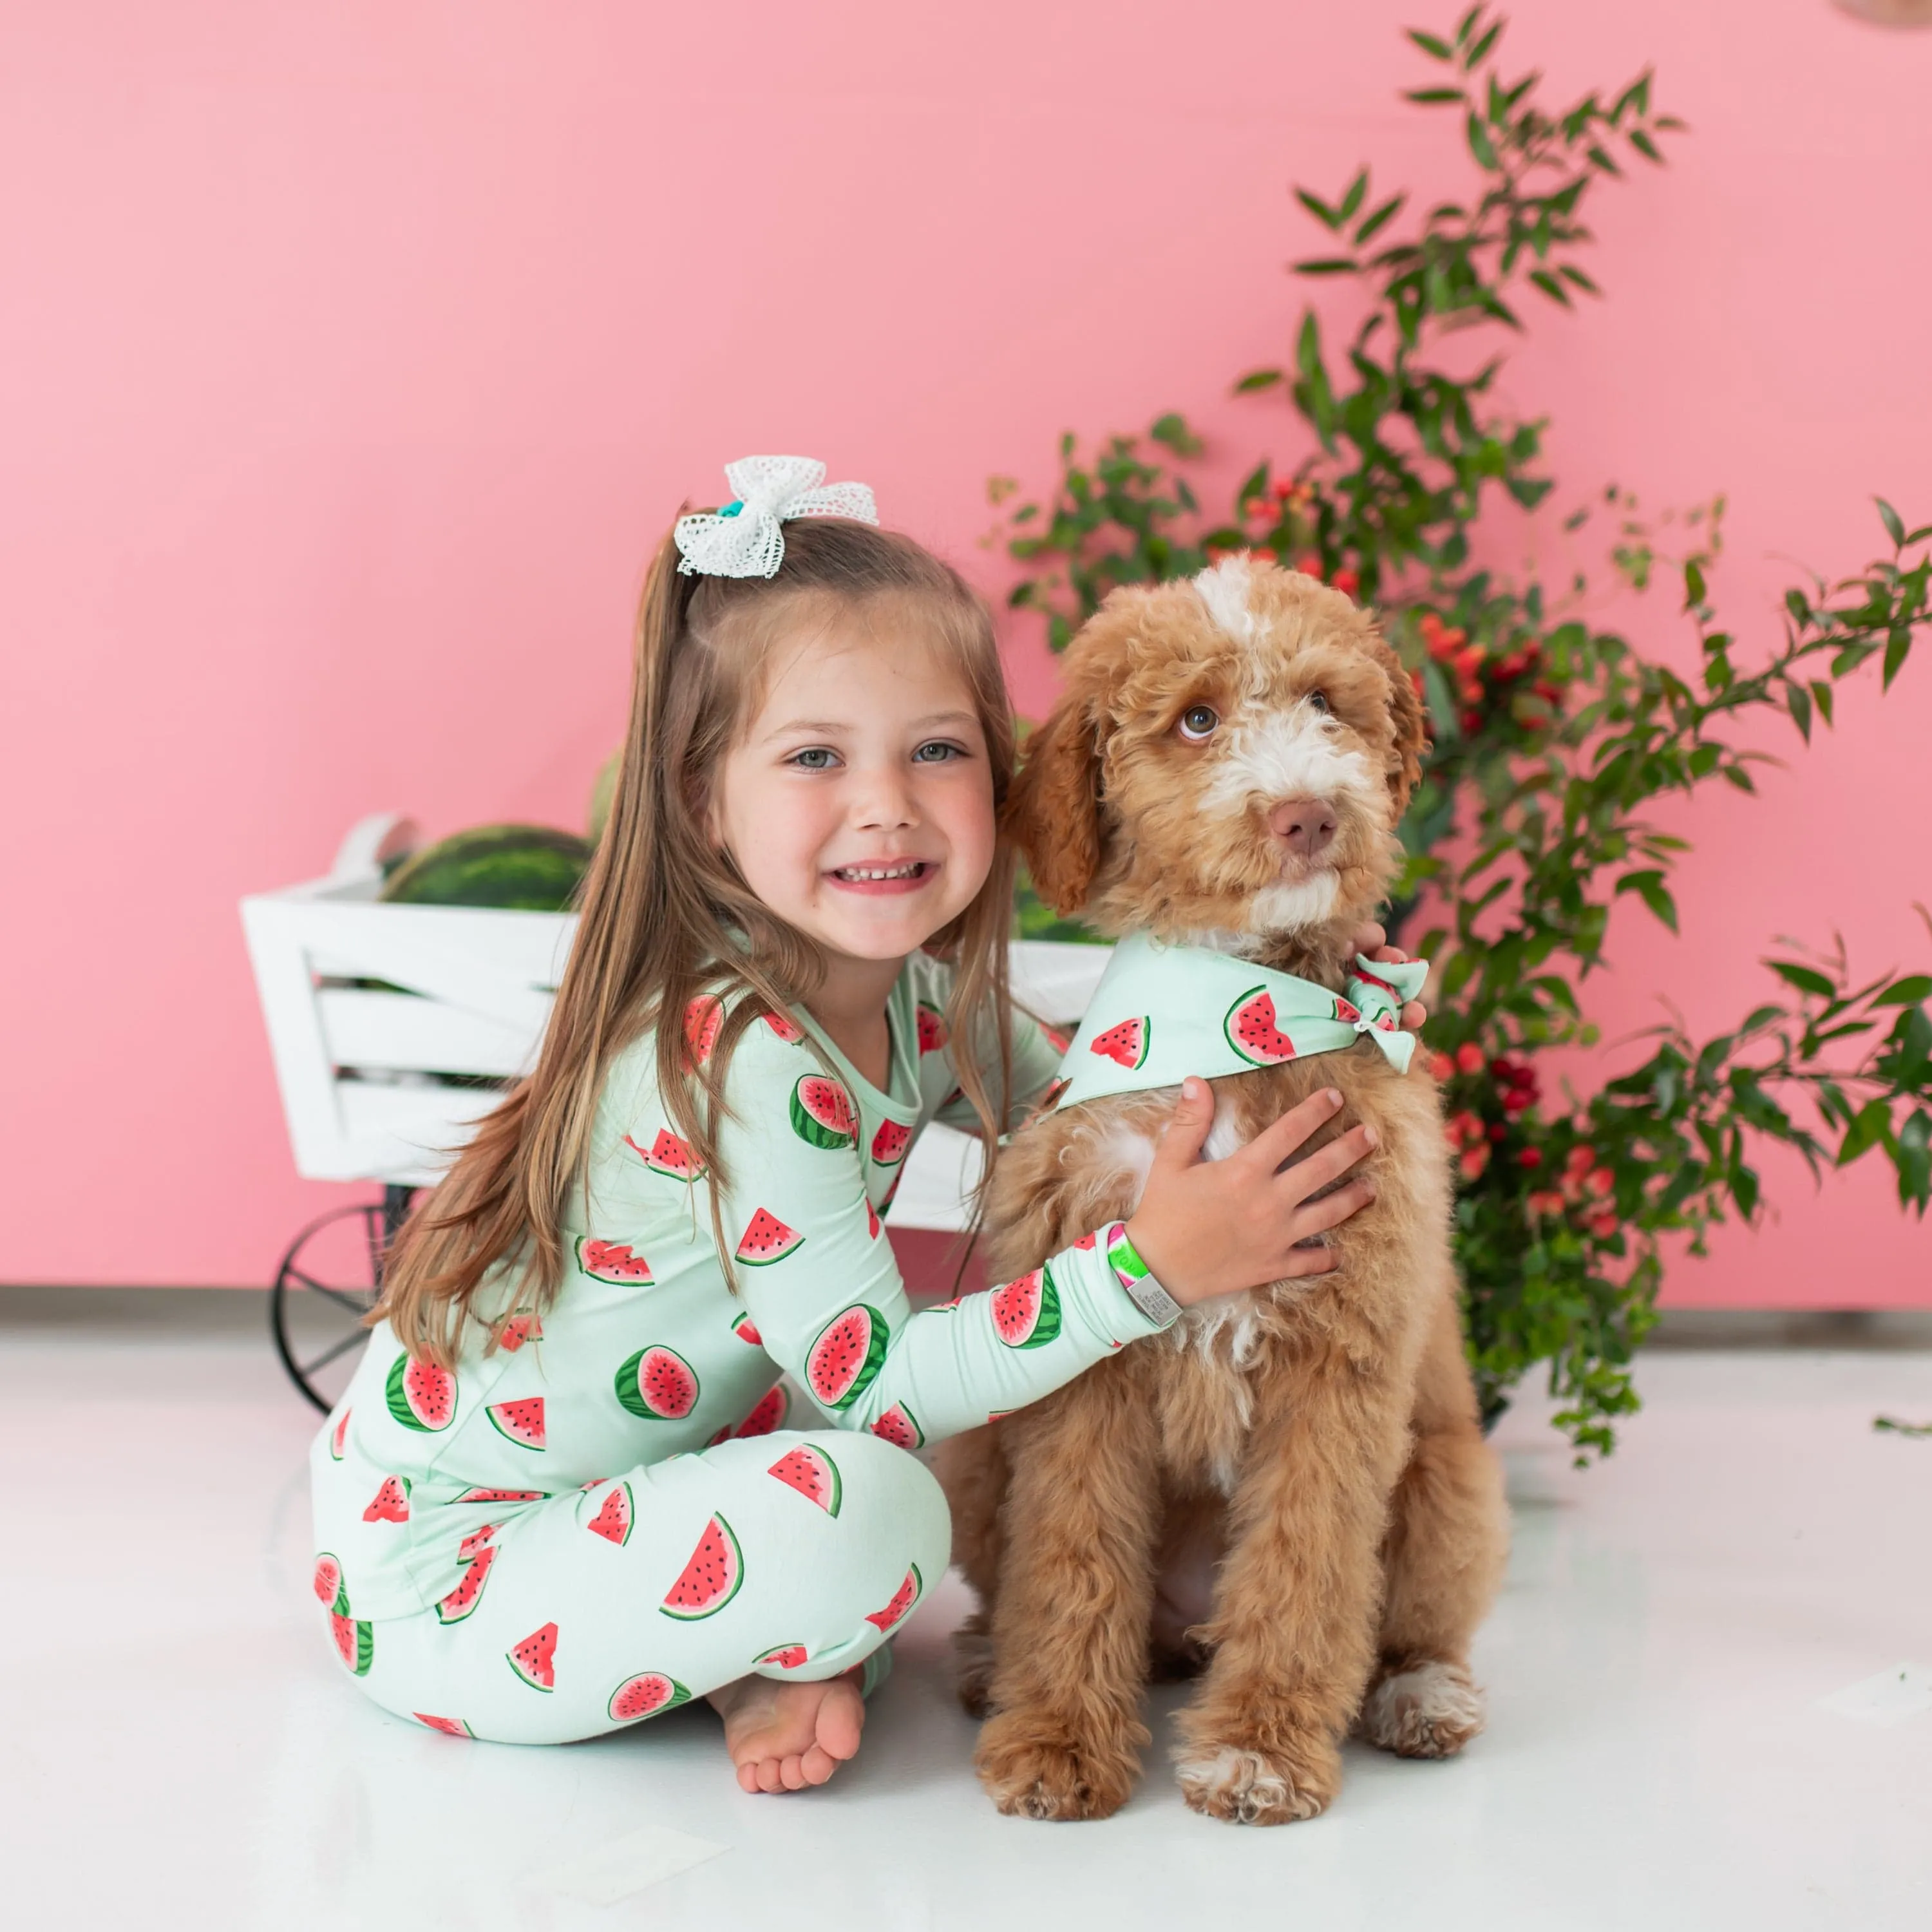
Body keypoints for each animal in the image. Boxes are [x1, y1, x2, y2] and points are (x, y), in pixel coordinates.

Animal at [935, 556, 1507, 1824]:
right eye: (1196, 721)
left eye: (1326, 704)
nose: (1309, 814)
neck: (1240, 1020)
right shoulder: (1080, 1366)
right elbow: (1072, 1556)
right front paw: (1056, 1739)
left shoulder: (1340, 1362)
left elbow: (1305, 1565)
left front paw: (1258, 1751)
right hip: (975, 1457)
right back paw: (995, 1663)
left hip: (1449, 1476)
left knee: (1417, 1621)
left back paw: (1423, 1697)